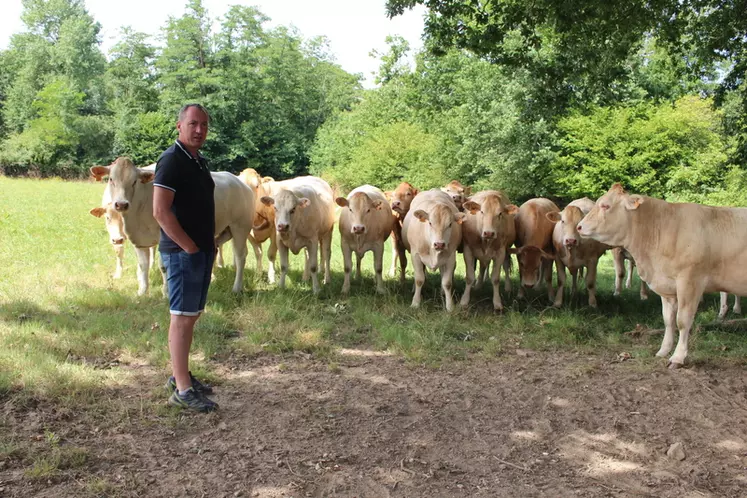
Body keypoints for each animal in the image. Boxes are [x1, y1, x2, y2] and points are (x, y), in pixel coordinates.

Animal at [580, 183, 747, 366]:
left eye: (605, 206)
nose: (579, 226)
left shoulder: (690, 281)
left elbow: (682, 320)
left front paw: (678, 356)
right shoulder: (667, 288)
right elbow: (668, 320)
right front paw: (663, 350)